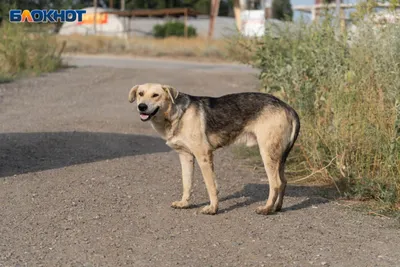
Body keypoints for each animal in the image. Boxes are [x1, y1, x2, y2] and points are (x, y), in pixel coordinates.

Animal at [129, 83, 300, 216]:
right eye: (140, 94)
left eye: (156, 95)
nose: (141, 107)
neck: (177, 114)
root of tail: (288, 107)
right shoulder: (185, 156)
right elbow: (187, 183)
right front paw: (184, 203)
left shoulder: (204, 156)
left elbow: (210, 186)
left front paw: (213, 209)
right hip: (278, 157)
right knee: (284, 181)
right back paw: (277, 207)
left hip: (267, 154)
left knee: (276, 183)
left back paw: (266, 208)